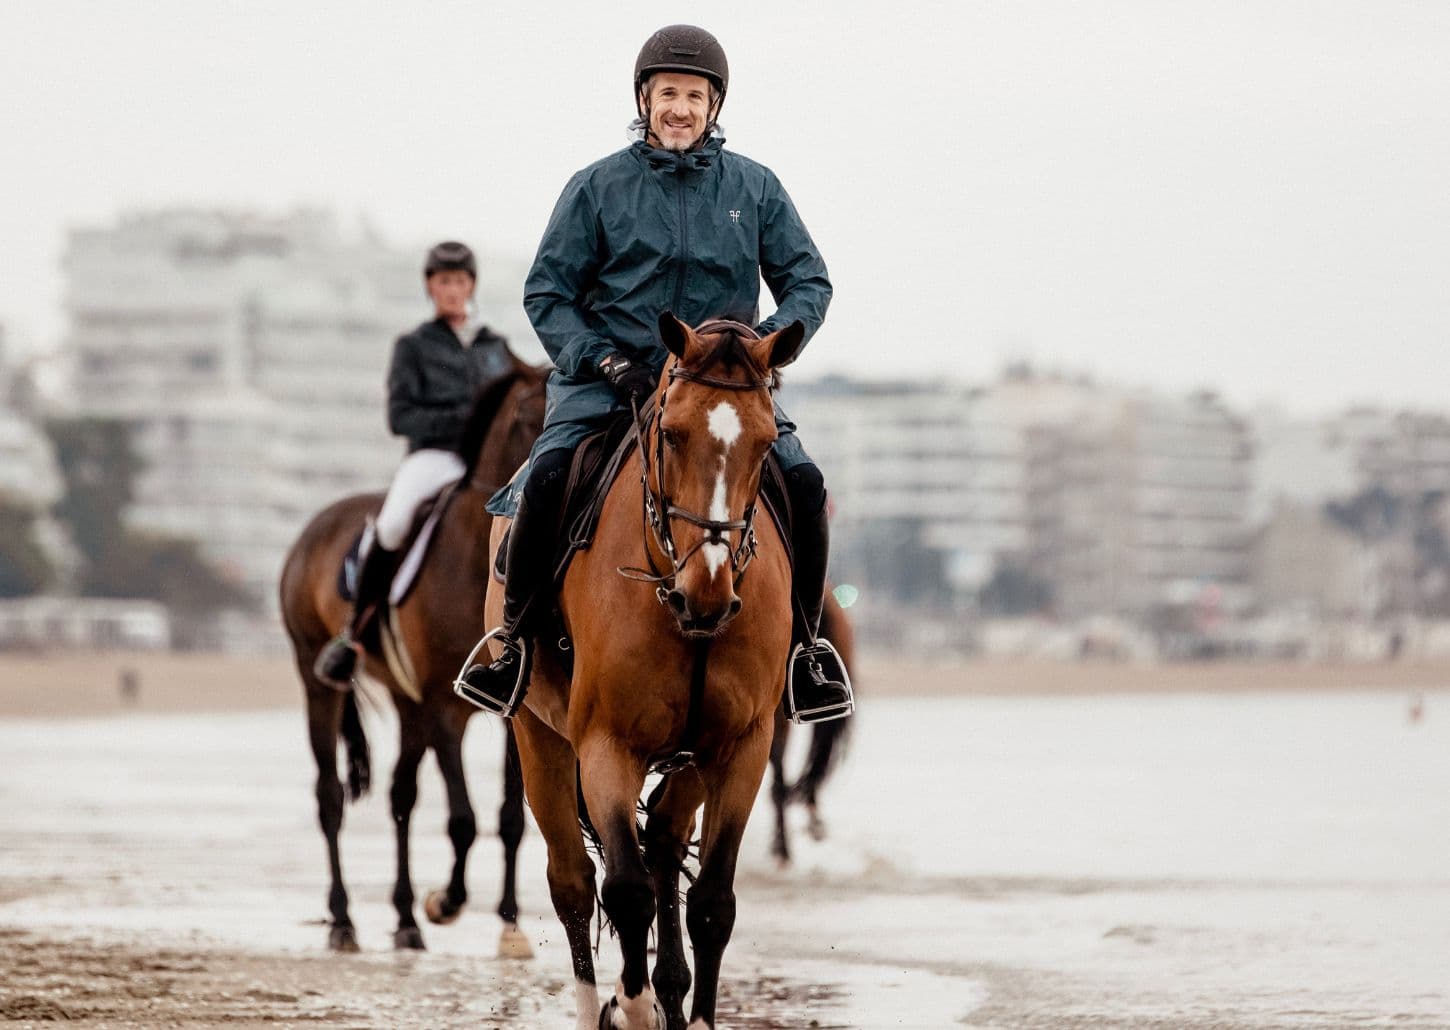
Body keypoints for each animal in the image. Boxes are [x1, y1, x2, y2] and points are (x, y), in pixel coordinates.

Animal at [275, 359, 545, 957]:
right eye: (523, 416)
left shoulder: (507, 713)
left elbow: (509, 818)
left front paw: (510, 924)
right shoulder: (444, 708)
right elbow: (464, 818)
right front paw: (446, 902)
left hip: (406, 704)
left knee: (401, 796)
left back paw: (403, 919)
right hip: (318, 682)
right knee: (330, 796)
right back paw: (343, 921)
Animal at [484, 314, 806, 1030]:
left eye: (766, 442)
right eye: (673, 433)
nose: (706, 594)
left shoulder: (741, 749)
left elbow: (712, 902)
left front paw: (693, 1011)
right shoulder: (608, 743)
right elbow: (624, 891)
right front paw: (630, 1008)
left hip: (688, 760)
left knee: (661, 841)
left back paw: (673, 986)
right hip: (538, 737)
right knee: (575, 883)